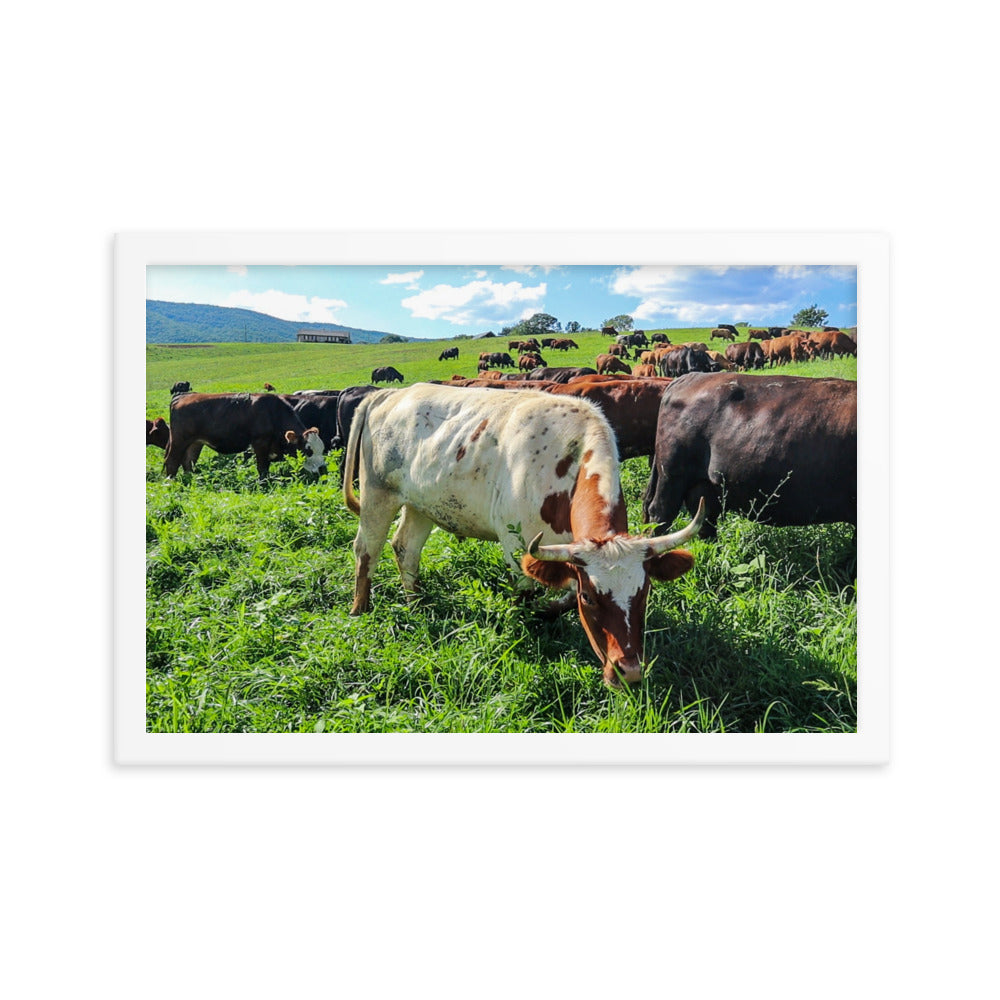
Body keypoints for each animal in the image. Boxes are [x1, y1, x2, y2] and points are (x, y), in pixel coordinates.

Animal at [163, 392, 327, 480]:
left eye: (322, 448)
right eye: (308, 450)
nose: (323, 469)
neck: (272, 413)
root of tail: (183, 396)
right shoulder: (260, 443)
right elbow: (262, 467)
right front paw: (264, 483)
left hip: (196, 442)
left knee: (188, 461)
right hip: (179, 440)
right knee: (172, 462)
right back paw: (171, 483)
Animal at [342, 383, 704, 686]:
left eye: (644, 593)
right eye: (591, 598)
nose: (628, 672)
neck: (567, 461)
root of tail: (389, 394)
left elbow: (562, 598)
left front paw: (548, 612)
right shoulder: (517, 546)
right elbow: (527, 597)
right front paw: (528, 627)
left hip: (421, 505)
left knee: (406, 549)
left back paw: (416, 602)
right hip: (377, 495)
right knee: (366, 551)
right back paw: (360, 610)